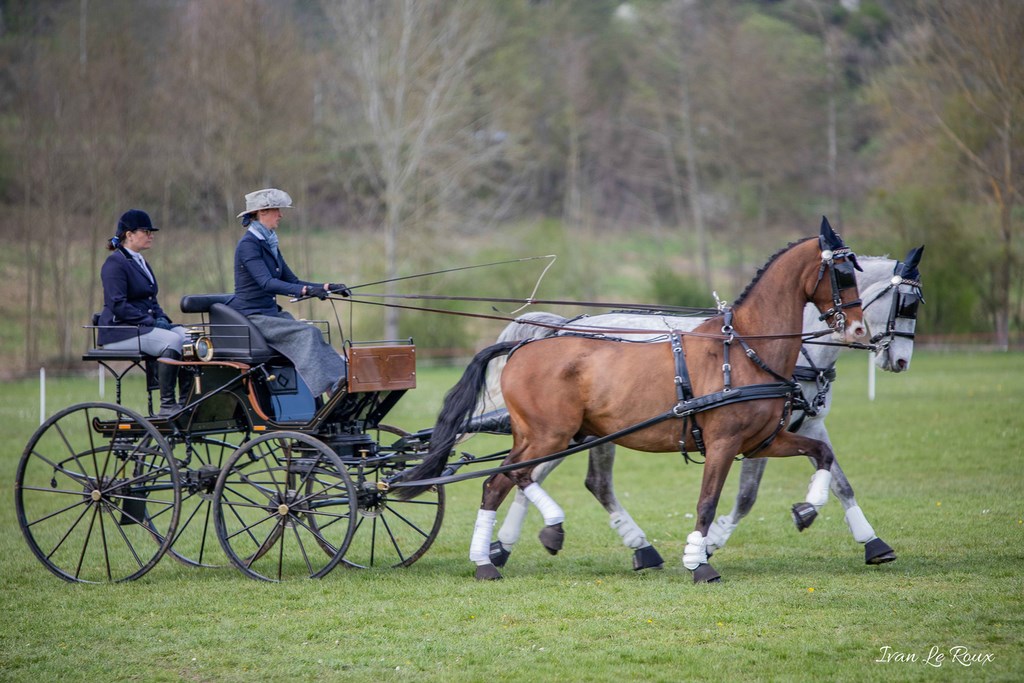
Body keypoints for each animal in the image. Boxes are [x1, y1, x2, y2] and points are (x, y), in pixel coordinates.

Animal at [399, 219, 864, 581]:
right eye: (842, 274)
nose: (859, 330)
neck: (745, 350)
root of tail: (524, 347)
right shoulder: (723, 443)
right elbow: (707, 501)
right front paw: (699, 563)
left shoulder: (763, 441)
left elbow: (822, 456)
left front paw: (808, 508)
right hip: (551, 435)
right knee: (511, 477)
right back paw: (533, 535)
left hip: (545, 436)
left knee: (504, 480)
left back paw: (491, 557)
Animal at [475, 248, 925, 573]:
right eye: (907, 304)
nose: (901, 361)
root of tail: (566, 326)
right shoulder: (745, 438)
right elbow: (744, 496)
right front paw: (709, 546)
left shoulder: (803, 426)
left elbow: (837, 477)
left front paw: (865, 538)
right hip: (566, 432)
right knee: (540, 476)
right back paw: (509, 546)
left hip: (580, 431)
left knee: (545, 477)